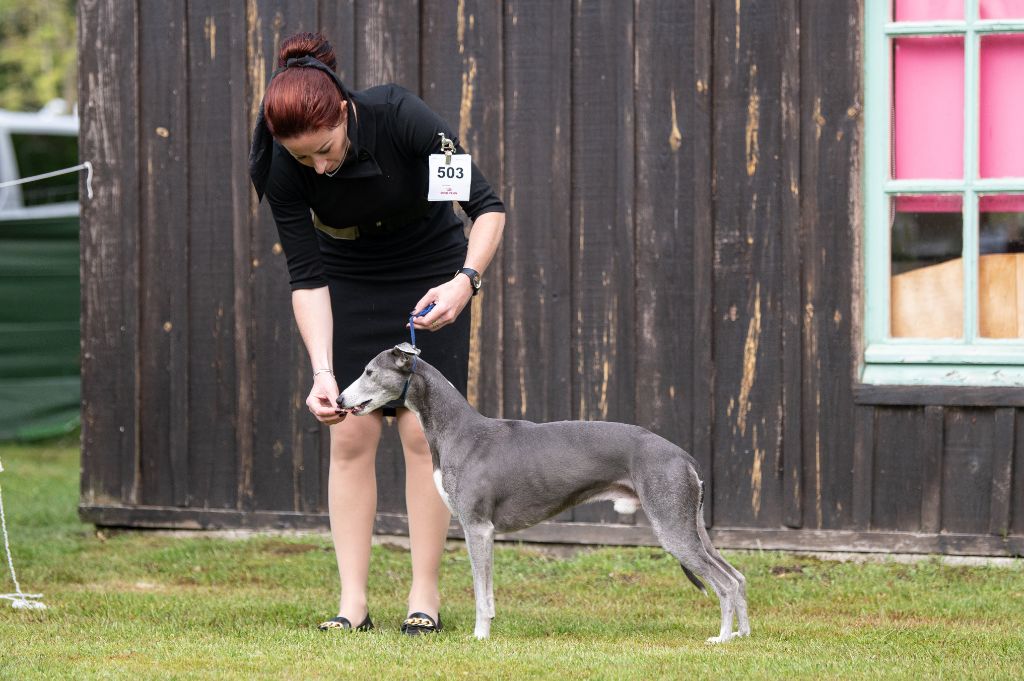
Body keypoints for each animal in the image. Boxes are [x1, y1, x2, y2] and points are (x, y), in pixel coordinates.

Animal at [339, 346, 749, 643]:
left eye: (369, 372)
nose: (340, 401)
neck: (459, 429)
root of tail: (684, 457)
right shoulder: (482, 530)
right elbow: (487, 591)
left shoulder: (477, 527)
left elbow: (481, 592)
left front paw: (480, 637)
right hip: (692, 527)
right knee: (738, 576)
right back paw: (742, 635)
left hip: (673, 526)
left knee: (726, 583)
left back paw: (722, 639)